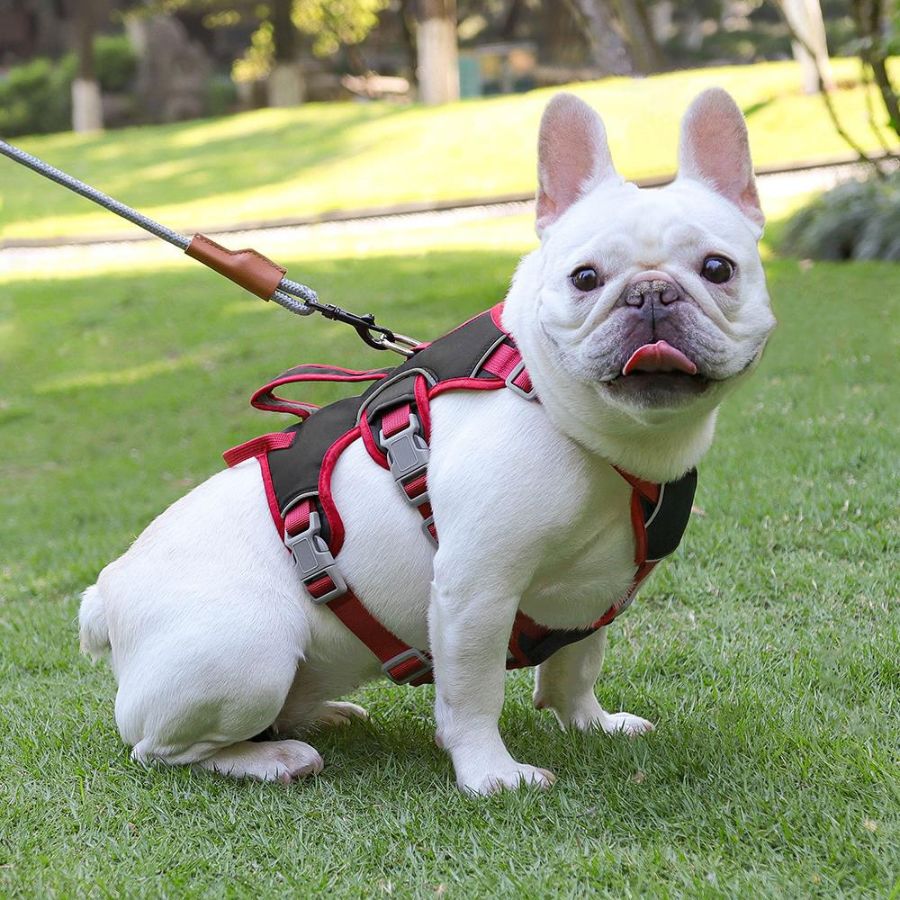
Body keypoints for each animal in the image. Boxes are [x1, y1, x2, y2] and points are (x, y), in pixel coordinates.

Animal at [81, 89, 776, 796]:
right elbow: (473, 693)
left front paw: (592, 724)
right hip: (247, 651)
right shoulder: (476, 589)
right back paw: (271, 758)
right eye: (584, 279)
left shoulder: (589, 595)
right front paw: (491, 774)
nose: (651, 293)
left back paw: (319, 716)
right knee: (159, 750)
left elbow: (575, 668)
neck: (570, 417)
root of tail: (104, 595)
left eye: (718, 268)